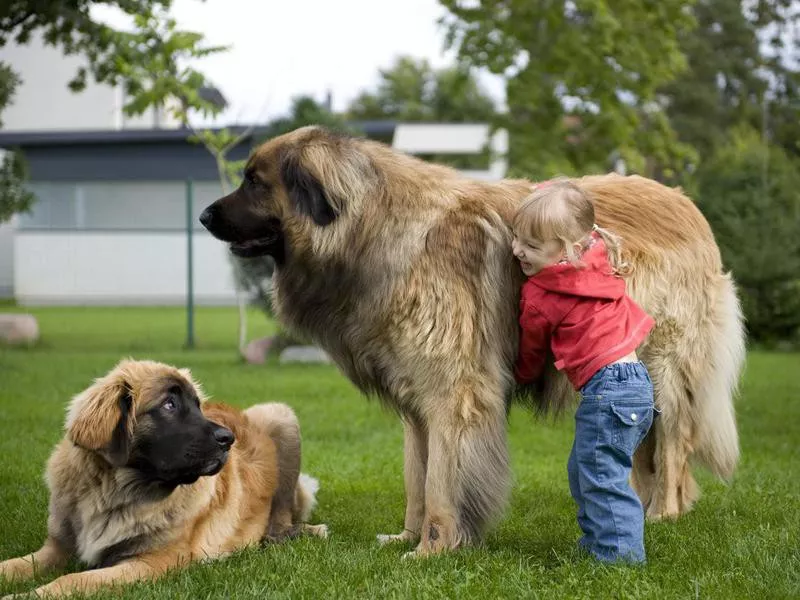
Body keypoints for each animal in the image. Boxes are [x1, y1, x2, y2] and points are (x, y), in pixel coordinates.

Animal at [0, 358, 328, 596]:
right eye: (169, 405)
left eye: (198, 406)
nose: (228, 439)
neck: (114, 491)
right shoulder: (56, 549)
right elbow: (12, 565)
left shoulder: (152, 560)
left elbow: (72, 580)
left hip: (279, 415)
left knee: (280, 522)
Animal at [198, 125, 744, 556]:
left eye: (254, 181)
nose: (203, 216)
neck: (373, 227)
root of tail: (686, 203)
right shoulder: (417, 402)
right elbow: (417, 478)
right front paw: (407, 537)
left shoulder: (455, 393)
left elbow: (443, 481)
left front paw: (433, 549)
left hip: (662, 368)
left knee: (672, 443)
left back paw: (662, 513)